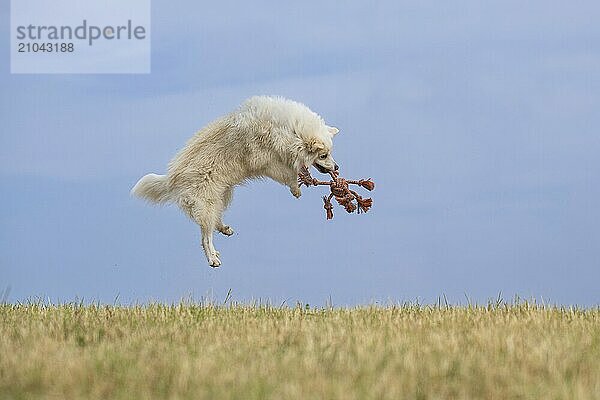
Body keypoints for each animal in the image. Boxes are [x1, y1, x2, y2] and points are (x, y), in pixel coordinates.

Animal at [131, 95, 338, 268]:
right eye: (323, 155)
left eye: (330, 152)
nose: (337, 168)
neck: (289, 130)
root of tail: (171, 180)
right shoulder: (269, 163)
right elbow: (289, 174)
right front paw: (296, 188)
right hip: (208, 204)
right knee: (205, 237)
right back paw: (213, 259)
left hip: (223, 195)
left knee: (215, 220)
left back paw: (224, 229)